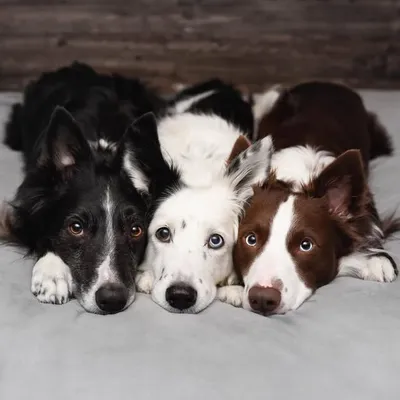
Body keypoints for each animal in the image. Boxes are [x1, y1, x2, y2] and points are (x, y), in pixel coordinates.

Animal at [0, 62, 177, 314]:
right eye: (76, 227)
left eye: (136, 230)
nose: (112, 300)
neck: (101, 151)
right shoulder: (26, 207)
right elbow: (41, 234)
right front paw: (51, 274)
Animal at [219, 81, 399, 315]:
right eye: (251, 239)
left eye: (306, 245)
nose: (262, 299)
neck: (297, 179)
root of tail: (328, 84)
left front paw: (375, 261)